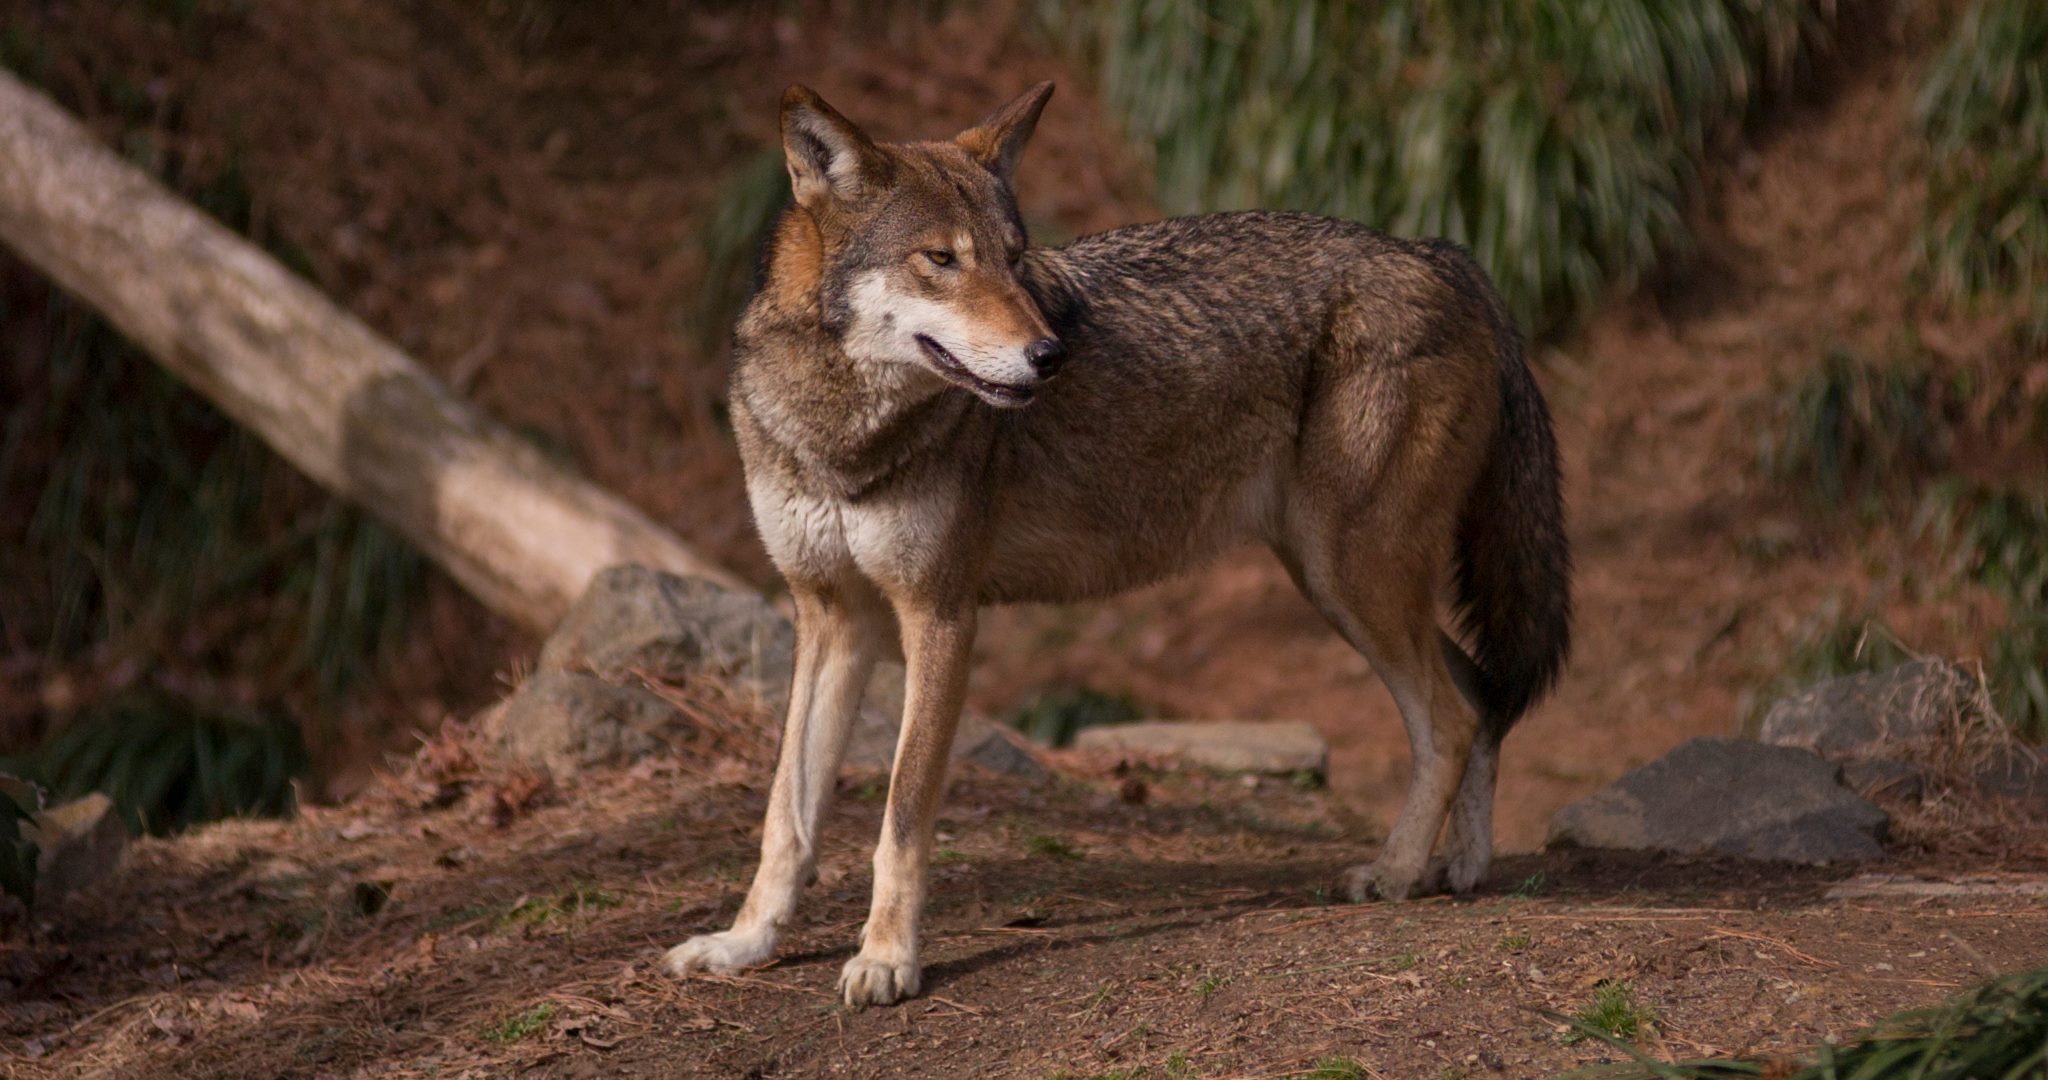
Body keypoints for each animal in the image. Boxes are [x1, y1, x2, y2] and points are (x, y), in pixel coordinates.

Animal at [664, 81, 1571, 1007]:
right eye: (941, 259)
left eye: (1015, 257)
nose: (1050, 353)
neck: (840, 436)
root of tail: (1442, 254)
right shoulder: (833, 618)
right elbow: (786, 813)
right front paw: (745, 942)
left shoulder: (941, 616)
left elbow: (903, 815)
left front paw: (887, 959)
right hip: (1343, 583)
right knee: (1481, 695)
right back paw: (1460, 867)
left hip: (1352, 578)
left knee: (1451, 718)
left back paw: (1394, 873)